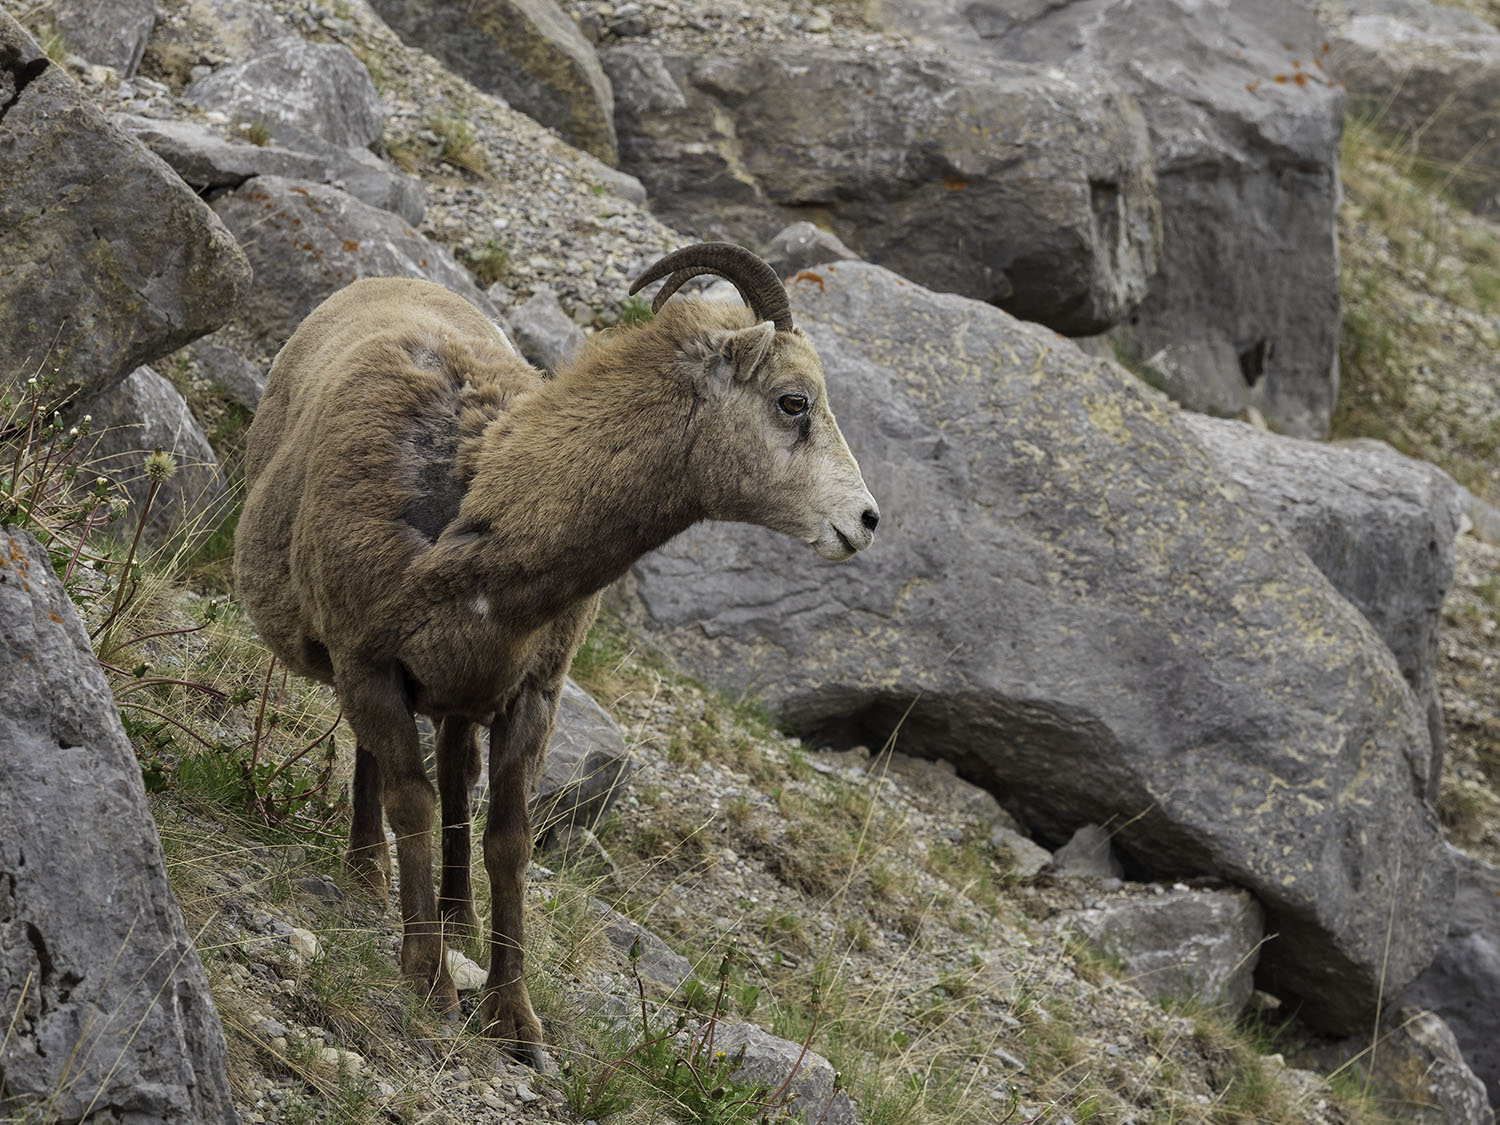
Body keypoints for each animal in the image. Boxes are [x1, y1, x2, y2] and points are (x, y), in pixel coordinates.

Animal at [234, 244, 876, 1068]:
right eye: (794, 402)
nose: (865, 521)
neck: (474, 513)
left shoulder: (532, 696)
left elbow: (507, 842)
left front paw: (517, 1024)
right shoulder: (368, 665)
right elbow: (412, 803)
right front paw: (429, 982)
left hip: (459, 697)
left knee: (455, 773)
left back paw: (458, 918)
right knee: (393, 771)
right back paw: (369, 877)